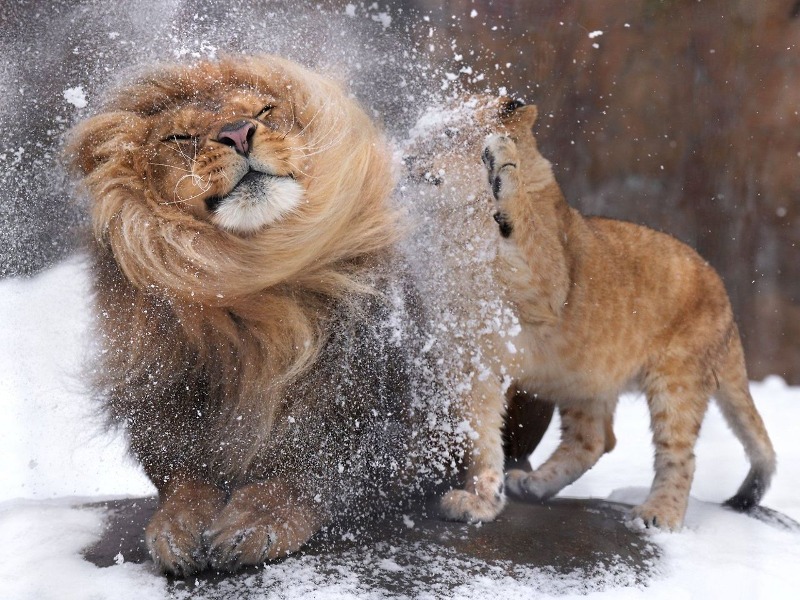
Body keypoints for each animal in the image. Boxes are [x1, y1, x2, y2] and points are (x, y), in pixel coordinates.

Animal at [65, 56, 510, 576]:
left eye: (263, 110)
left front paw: (256, 521)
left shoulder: (375, 399)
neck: (255, 290)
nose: (237, 133)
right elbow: (183, 475)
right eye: (179, 136)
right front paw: (176, 528)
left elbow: (315, 469)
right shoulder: (161, 385)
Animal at [478, 103, 780, 528]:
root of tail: (728, 303)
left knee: (680, 455)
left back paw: (660, 514)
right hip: (586, 377)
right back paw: (532, 485)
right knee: (594, 440)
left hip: (676, 379)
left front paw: (502, 164)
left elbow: (522, 229)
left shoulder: (550, 284)